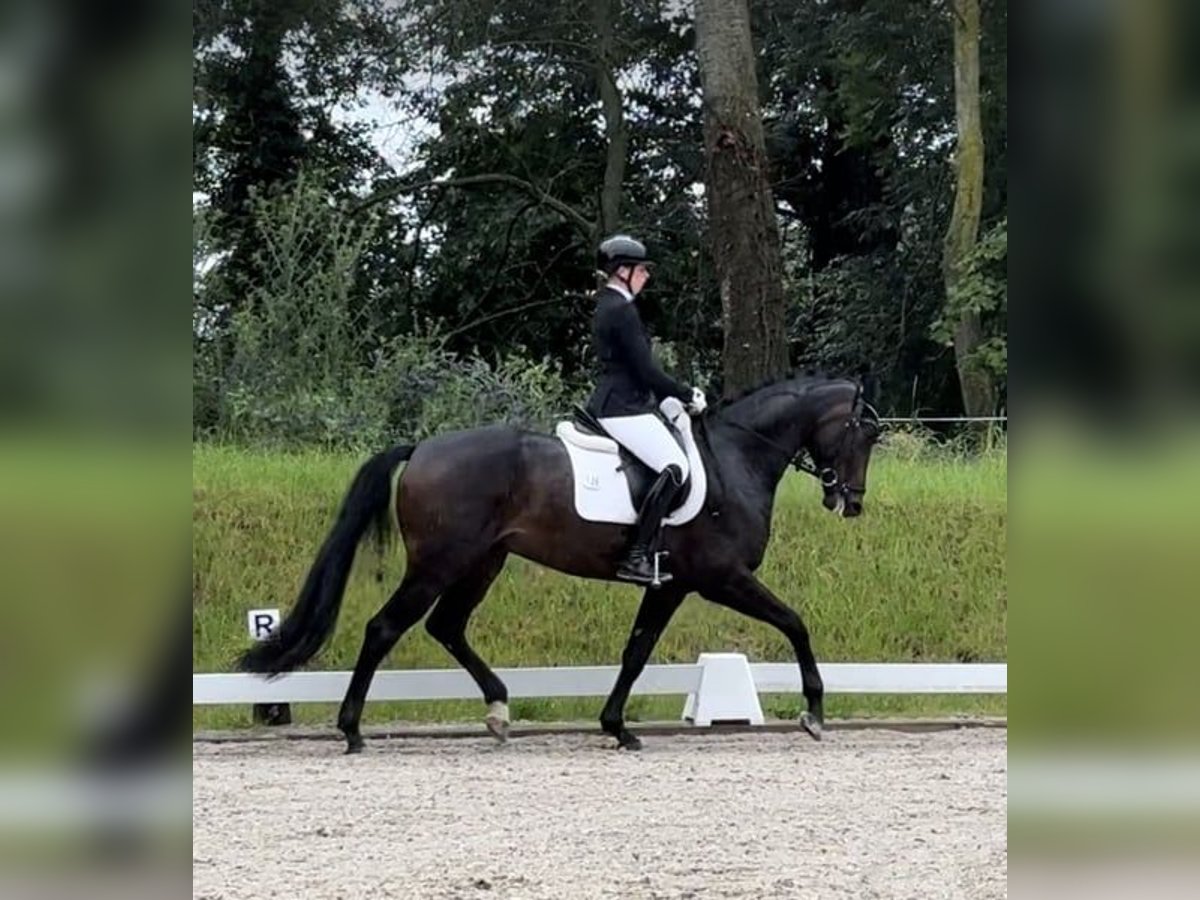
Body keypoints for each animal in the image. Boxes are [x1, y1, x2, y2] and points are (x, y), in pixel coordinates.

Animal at [241, 374, 883, 753]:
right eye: (864, 434)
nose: (850, 502)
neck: (737, 458)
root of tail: (421, 448)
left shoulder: (668, 586)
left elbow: (636, 652)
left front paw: (616, 727)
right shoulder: (721, 578)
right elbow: (795, 623)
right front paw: (814, 712)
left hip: (482, 562)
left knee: (446, 626)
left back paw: (499, 711)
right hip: (439, 563)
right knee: (384, 628)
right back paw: (352, 731)